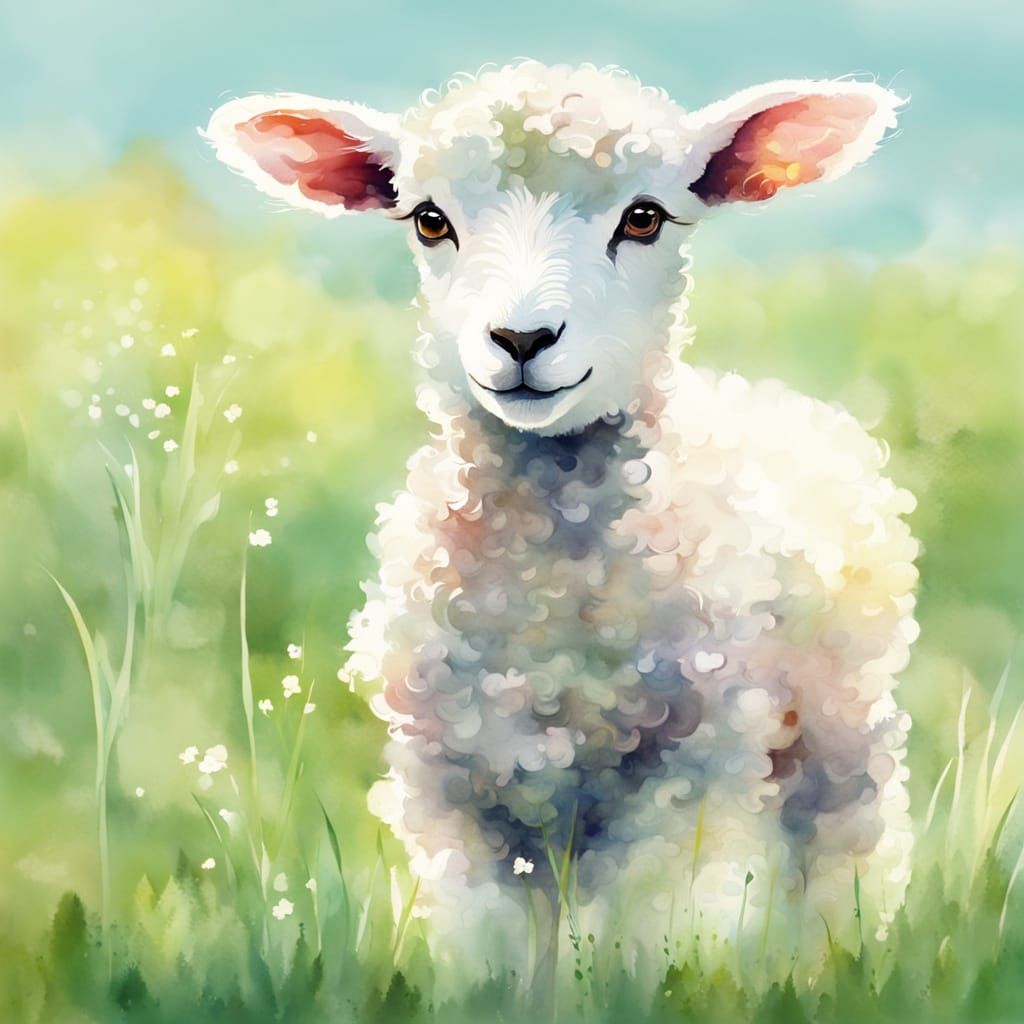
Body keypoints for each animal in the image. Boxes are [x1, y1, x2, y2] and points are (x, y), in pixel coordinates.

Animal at [206, 60, 917, 987]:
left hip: (839, 743)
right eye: (430, 219)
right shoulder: (456, 793)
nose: (521, 337)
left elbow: (633, 945)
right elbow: (494, 958)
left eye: (644, 217)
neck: (549, 608)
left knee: (838, 867)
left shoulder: (678, 781)